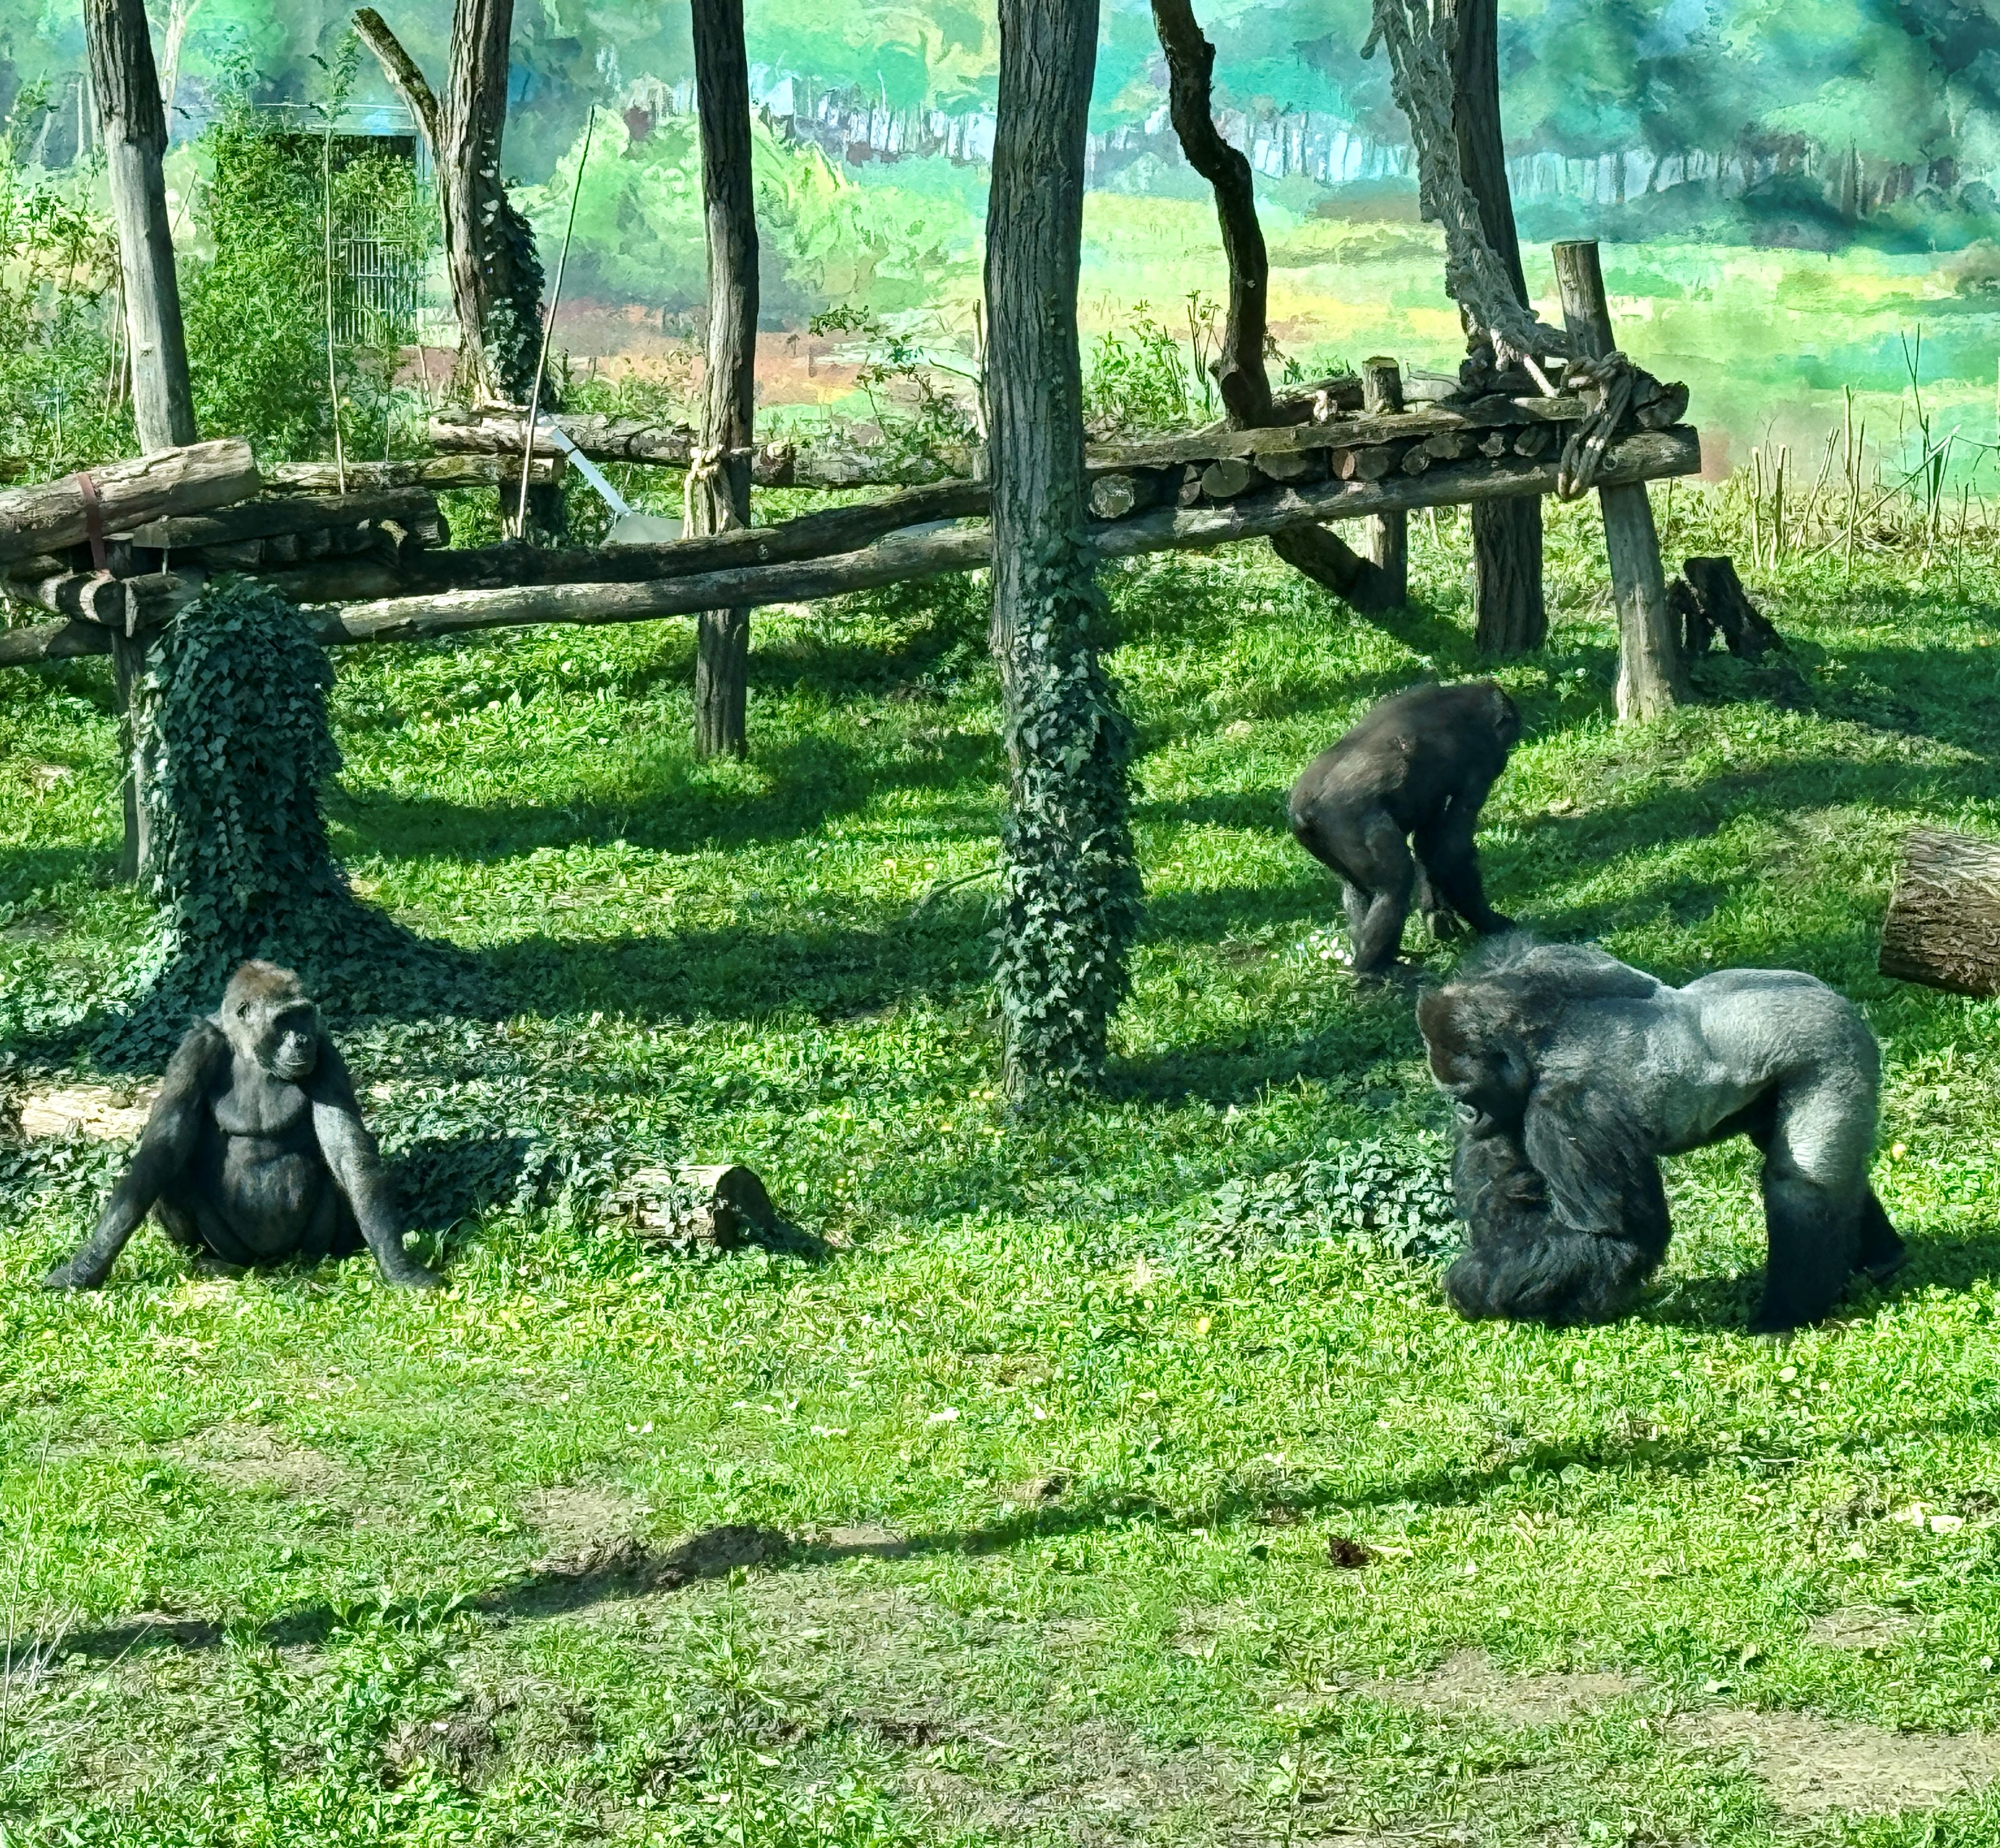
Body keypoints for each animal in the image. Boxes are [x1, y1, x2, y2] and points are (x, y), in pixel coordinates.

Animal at [43, 962, 442, 1292]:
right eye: (284, 1020)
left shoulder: (325, 1049)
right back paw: (212, 1263)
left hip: (307, 1247)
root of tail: (272, 1263)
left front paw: (397, 1264)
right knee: (174, 1178)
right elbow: (161, 1151)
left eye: (304, 1016)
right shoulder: (196, 1049)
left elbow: (347, 1149)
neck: (250, 1050)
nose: (302, 1040)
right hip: (233, 1249)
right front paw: (89, 1265)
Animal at [1288, 681, 1520, 979]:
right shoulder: (1483, 764)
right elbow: (1450, 851)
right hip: (1347, 822)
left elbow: (1430, 843)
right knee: (1395, 883)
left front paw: (1440, 919)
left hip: (1319, 841)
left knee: (1355, 890)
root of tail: (1303, 809)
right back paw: (1374, 969)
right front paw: (1490, 922)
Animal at [1417, 937, 1903, 1333]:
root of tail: (1832, 996)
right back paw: (1882, 1259)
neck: (1539, 1042)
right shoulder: (1536, 969)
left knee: (1801, 1185)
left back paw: (1785, 1316)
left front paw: (1473, 1282)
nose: (1463, 1114)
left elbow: (1615, 1236)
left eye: (1465, 1093)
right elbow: (1505, 1188)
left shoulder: (1570, 1109)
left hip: (1831, 1049)